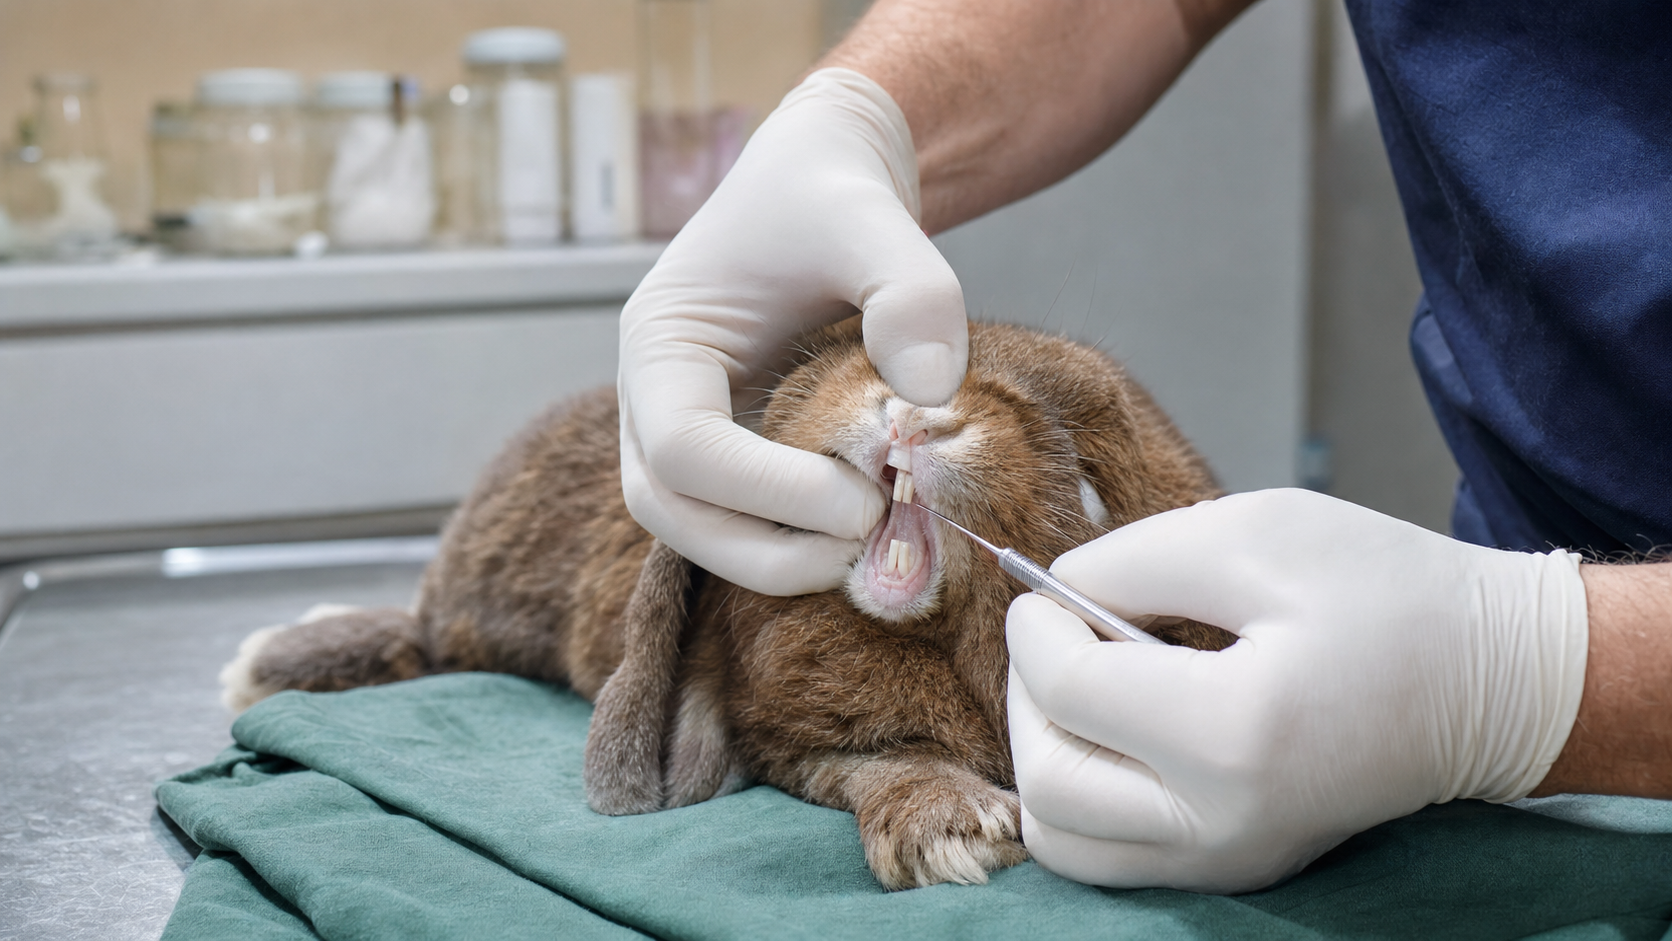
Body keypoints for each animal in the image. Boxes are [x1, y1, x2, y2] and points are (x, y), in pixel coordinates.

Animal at [220, 316, 1232, 890]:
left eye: (1091, 483)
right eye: (856, 353)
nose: (915, 412)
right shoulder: (795, 737)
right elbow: (884, 760)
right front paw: (957, 832)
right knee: (419, 637)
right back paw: (265, 658)